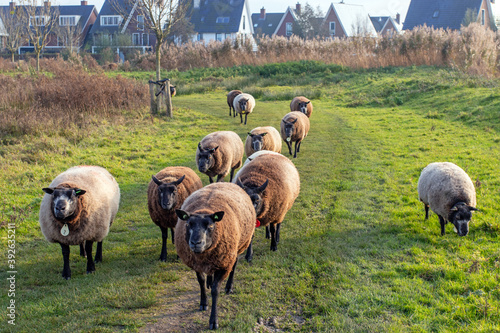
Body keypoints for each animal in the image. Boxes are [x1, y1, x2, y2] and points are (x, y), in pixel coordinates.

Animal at [175, 182, 254, 330]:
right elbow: (200, 282)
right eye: (188, 224)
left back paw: (229, 287)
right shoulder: (196, 263)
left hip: (237, 248)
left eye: (211, 226)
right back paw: (210, 282)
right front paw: (203, 303)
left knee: (234, 265)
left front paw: (213, 321)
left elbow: (215, 291)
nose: (196, 242)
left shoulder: (223, 265)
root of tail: (227, 182)